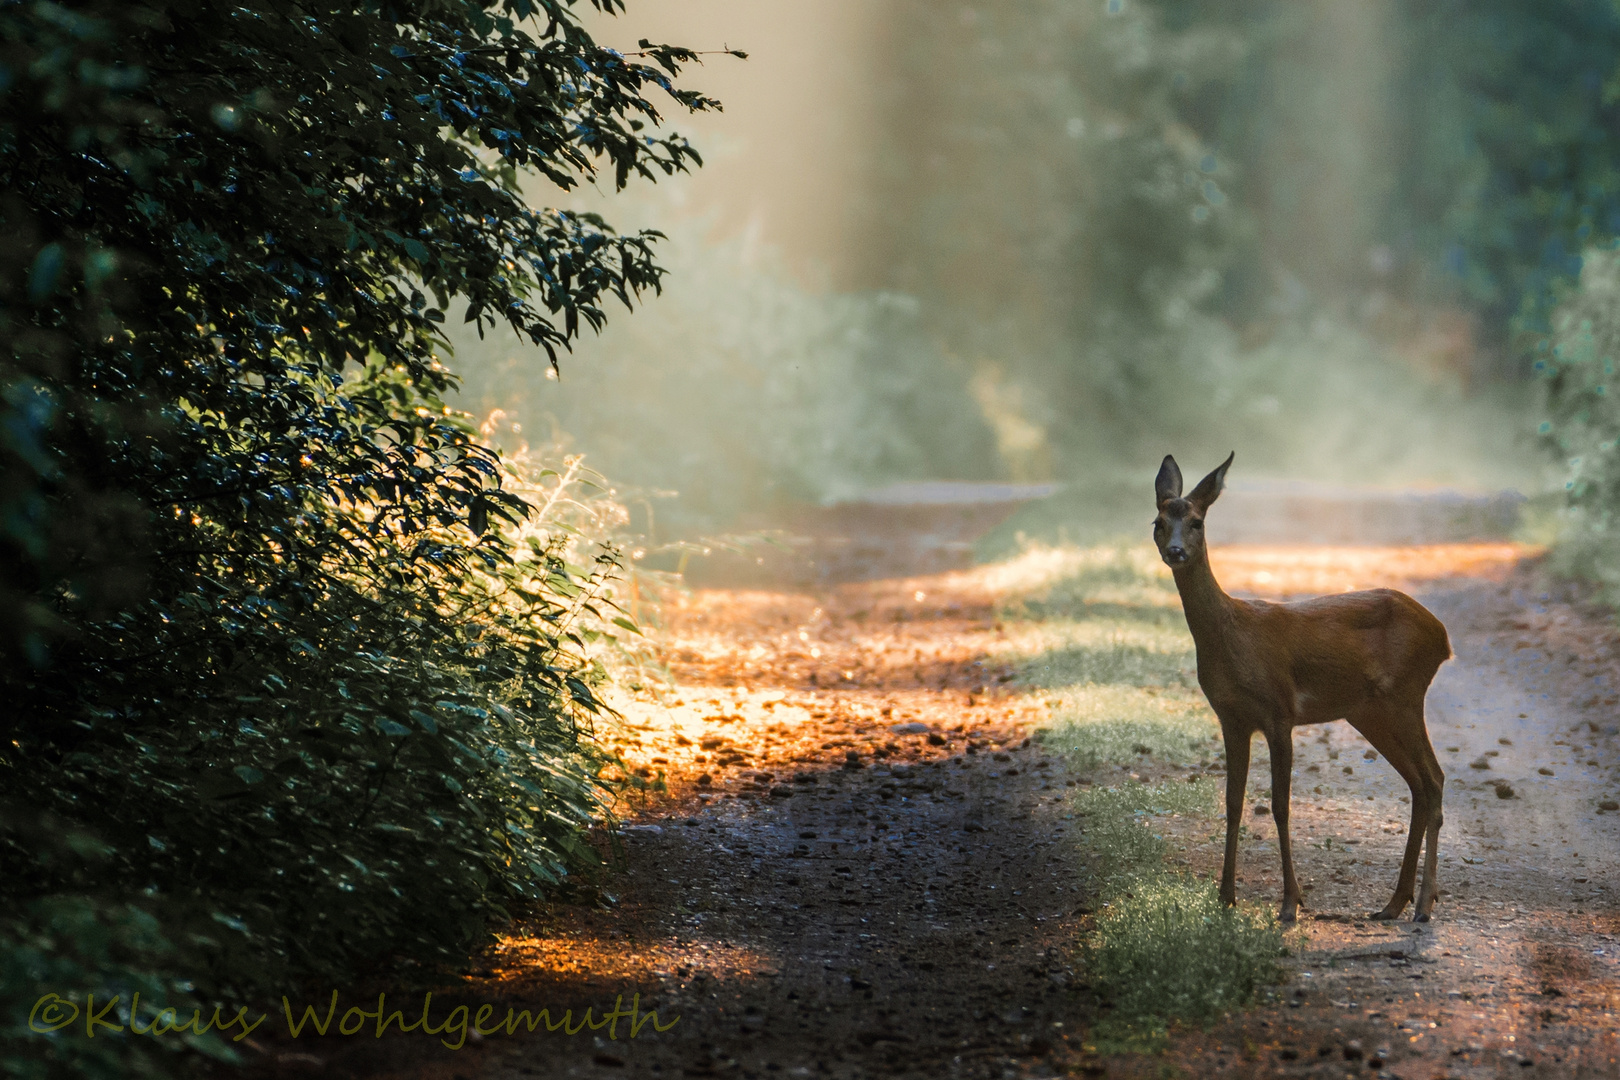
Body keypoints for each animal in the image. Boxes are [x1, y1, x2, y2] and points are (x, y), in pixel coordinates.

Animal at [1153, 453, 1458, 926]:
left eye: (1198, 522)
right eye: (1159, 521)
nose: (1176, 551)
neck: (1231, 635)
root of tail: (1442, 636)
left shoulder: (1279, 712)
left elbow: (1280, 806)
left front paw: (1290, 903)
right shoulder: (1230, 718)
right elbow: (1233, 802)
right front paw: (1225, 897)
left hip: (1406, 695)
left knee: (1435, 778)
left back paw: (1424, 904)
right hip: (1370, 711)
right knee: (1419, 784)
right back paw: (1394, 903)